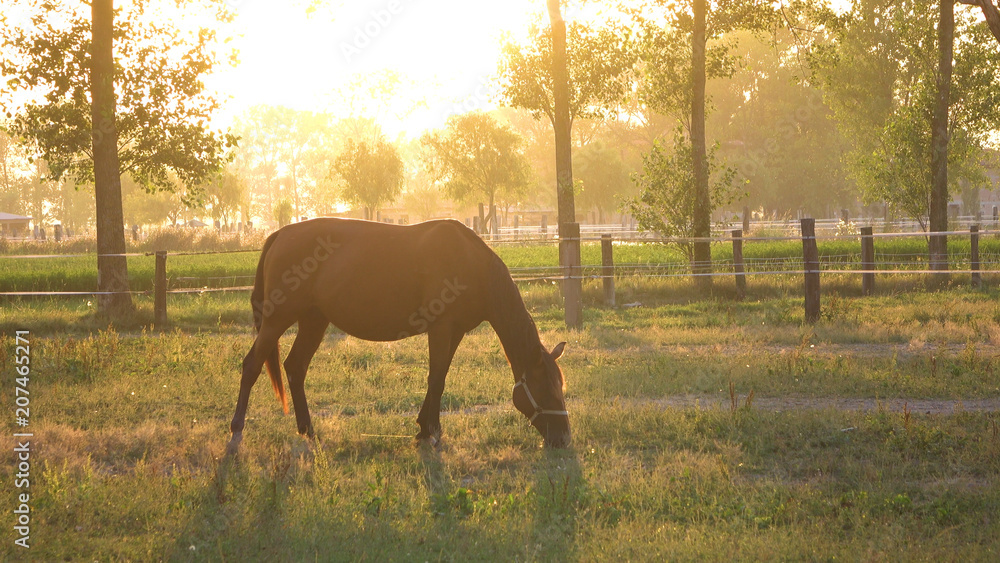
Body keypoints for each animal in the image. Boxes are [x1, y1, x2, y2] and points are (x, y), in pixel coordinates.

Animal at [229, 219, 572, 450]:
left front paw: (424, 426)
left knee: (295, 367)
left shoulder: (456, 331)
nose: (564, 438)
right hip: (276, 321)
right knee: (251, 365)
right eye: (546, 389)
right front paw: (431, 431)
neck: (471, 264)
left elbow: (439, 376)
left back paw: (307, 429)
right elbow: (436, 378)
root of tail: (279, 234)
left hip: (314, 322)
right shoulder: (441, 328)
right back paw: (236, 428)